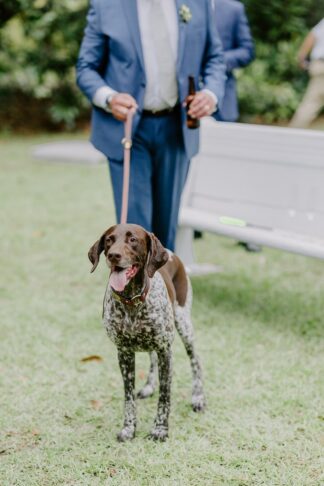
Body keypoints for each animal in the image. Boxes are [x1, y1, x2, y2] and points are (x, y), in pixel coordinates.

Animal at [88, 224, 205, 440]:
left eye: (133, 239)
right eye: (109, 240)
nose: (114, 255)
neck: (131, 300)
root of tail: (171, 253)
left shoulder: (165, 351)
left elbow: (165, 396)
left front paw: (160, 429)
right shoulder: (124, 353)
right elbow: (128, 397)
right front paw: (129, 429)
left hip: (184, 325)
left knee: (195, 361)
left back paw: (198, 398)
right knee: (152, 360)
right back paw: (149, 387)